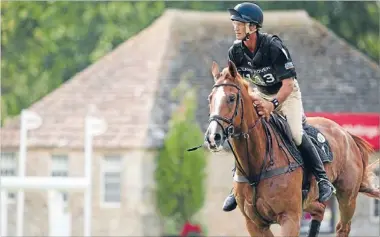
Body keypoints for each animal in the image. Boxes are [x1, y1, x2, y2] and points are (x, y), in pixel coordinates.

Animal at [205, 61, 380, 237]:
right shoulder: (255, 224)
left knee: (342, 227)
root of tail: (346, 134)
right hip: (311, 201)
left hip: (347, 197)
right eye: (210, 98)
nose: (213, 137)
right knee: (320, 210)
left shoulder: (290, 218)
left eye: (231, 98)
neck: (257, 165)